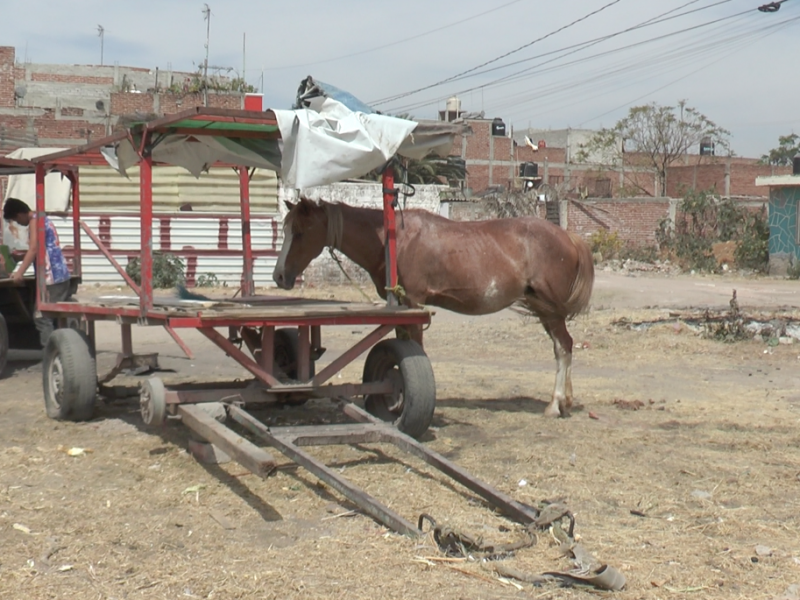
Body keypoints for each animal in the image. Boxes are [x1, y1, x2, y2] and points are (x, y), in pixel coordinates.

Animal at [276, 197, 592, 418]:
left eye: (300, 232)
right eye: (286, 229)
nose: (279, 276)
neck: (394, 240)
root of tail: (569, 237)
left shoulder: (414, 301)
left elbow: (415, 346)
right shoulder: (402, 307)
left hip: (550, 310)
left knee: (564, 347)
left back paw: (555, 404)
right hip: (545, 310)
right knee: (562, 348)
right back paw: (566, 401)